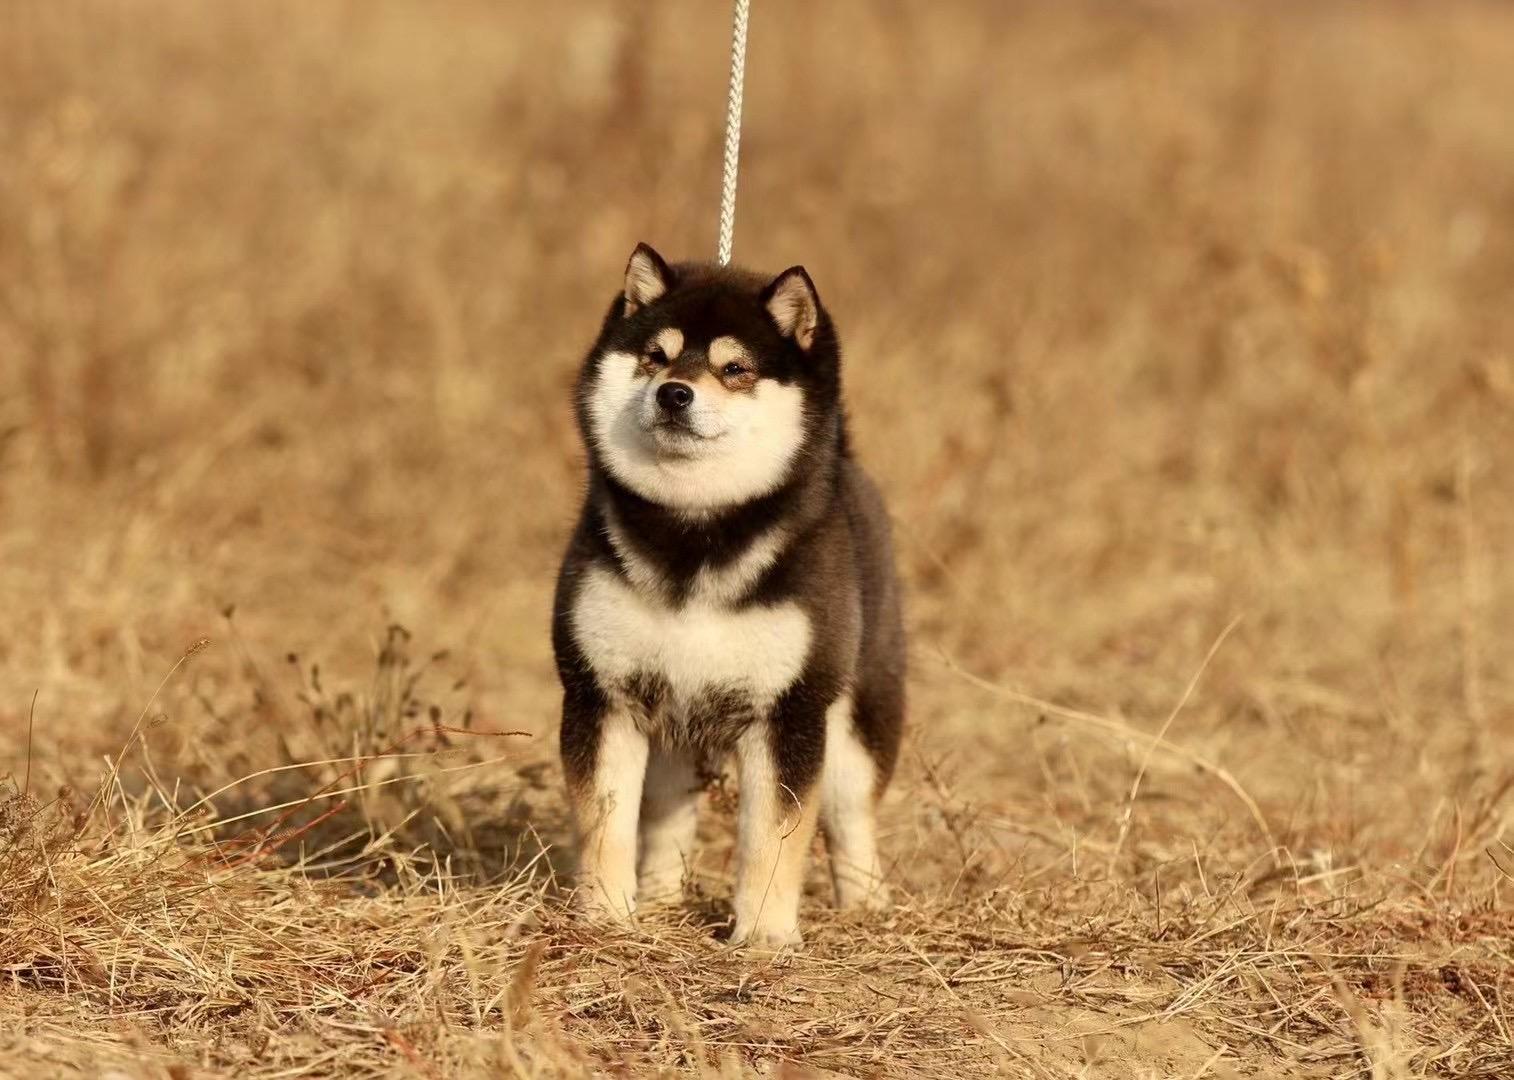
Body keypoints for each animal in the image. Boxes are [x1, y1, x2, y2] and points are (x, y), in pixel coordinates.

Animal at [560, 242, 902, 945]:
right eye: (656, 355)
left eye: (735, 368)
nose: (673, 393)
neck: (695, 532)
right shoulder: (601, 694)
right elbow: (606, 824)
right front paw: (606, 917)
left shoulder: (788, 712)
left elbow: (772, 838)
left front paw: (764, 936)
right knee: (667, 812)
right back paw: (661, 897)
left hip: (858, 718)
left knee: (851, 816)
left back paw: (866, 906)